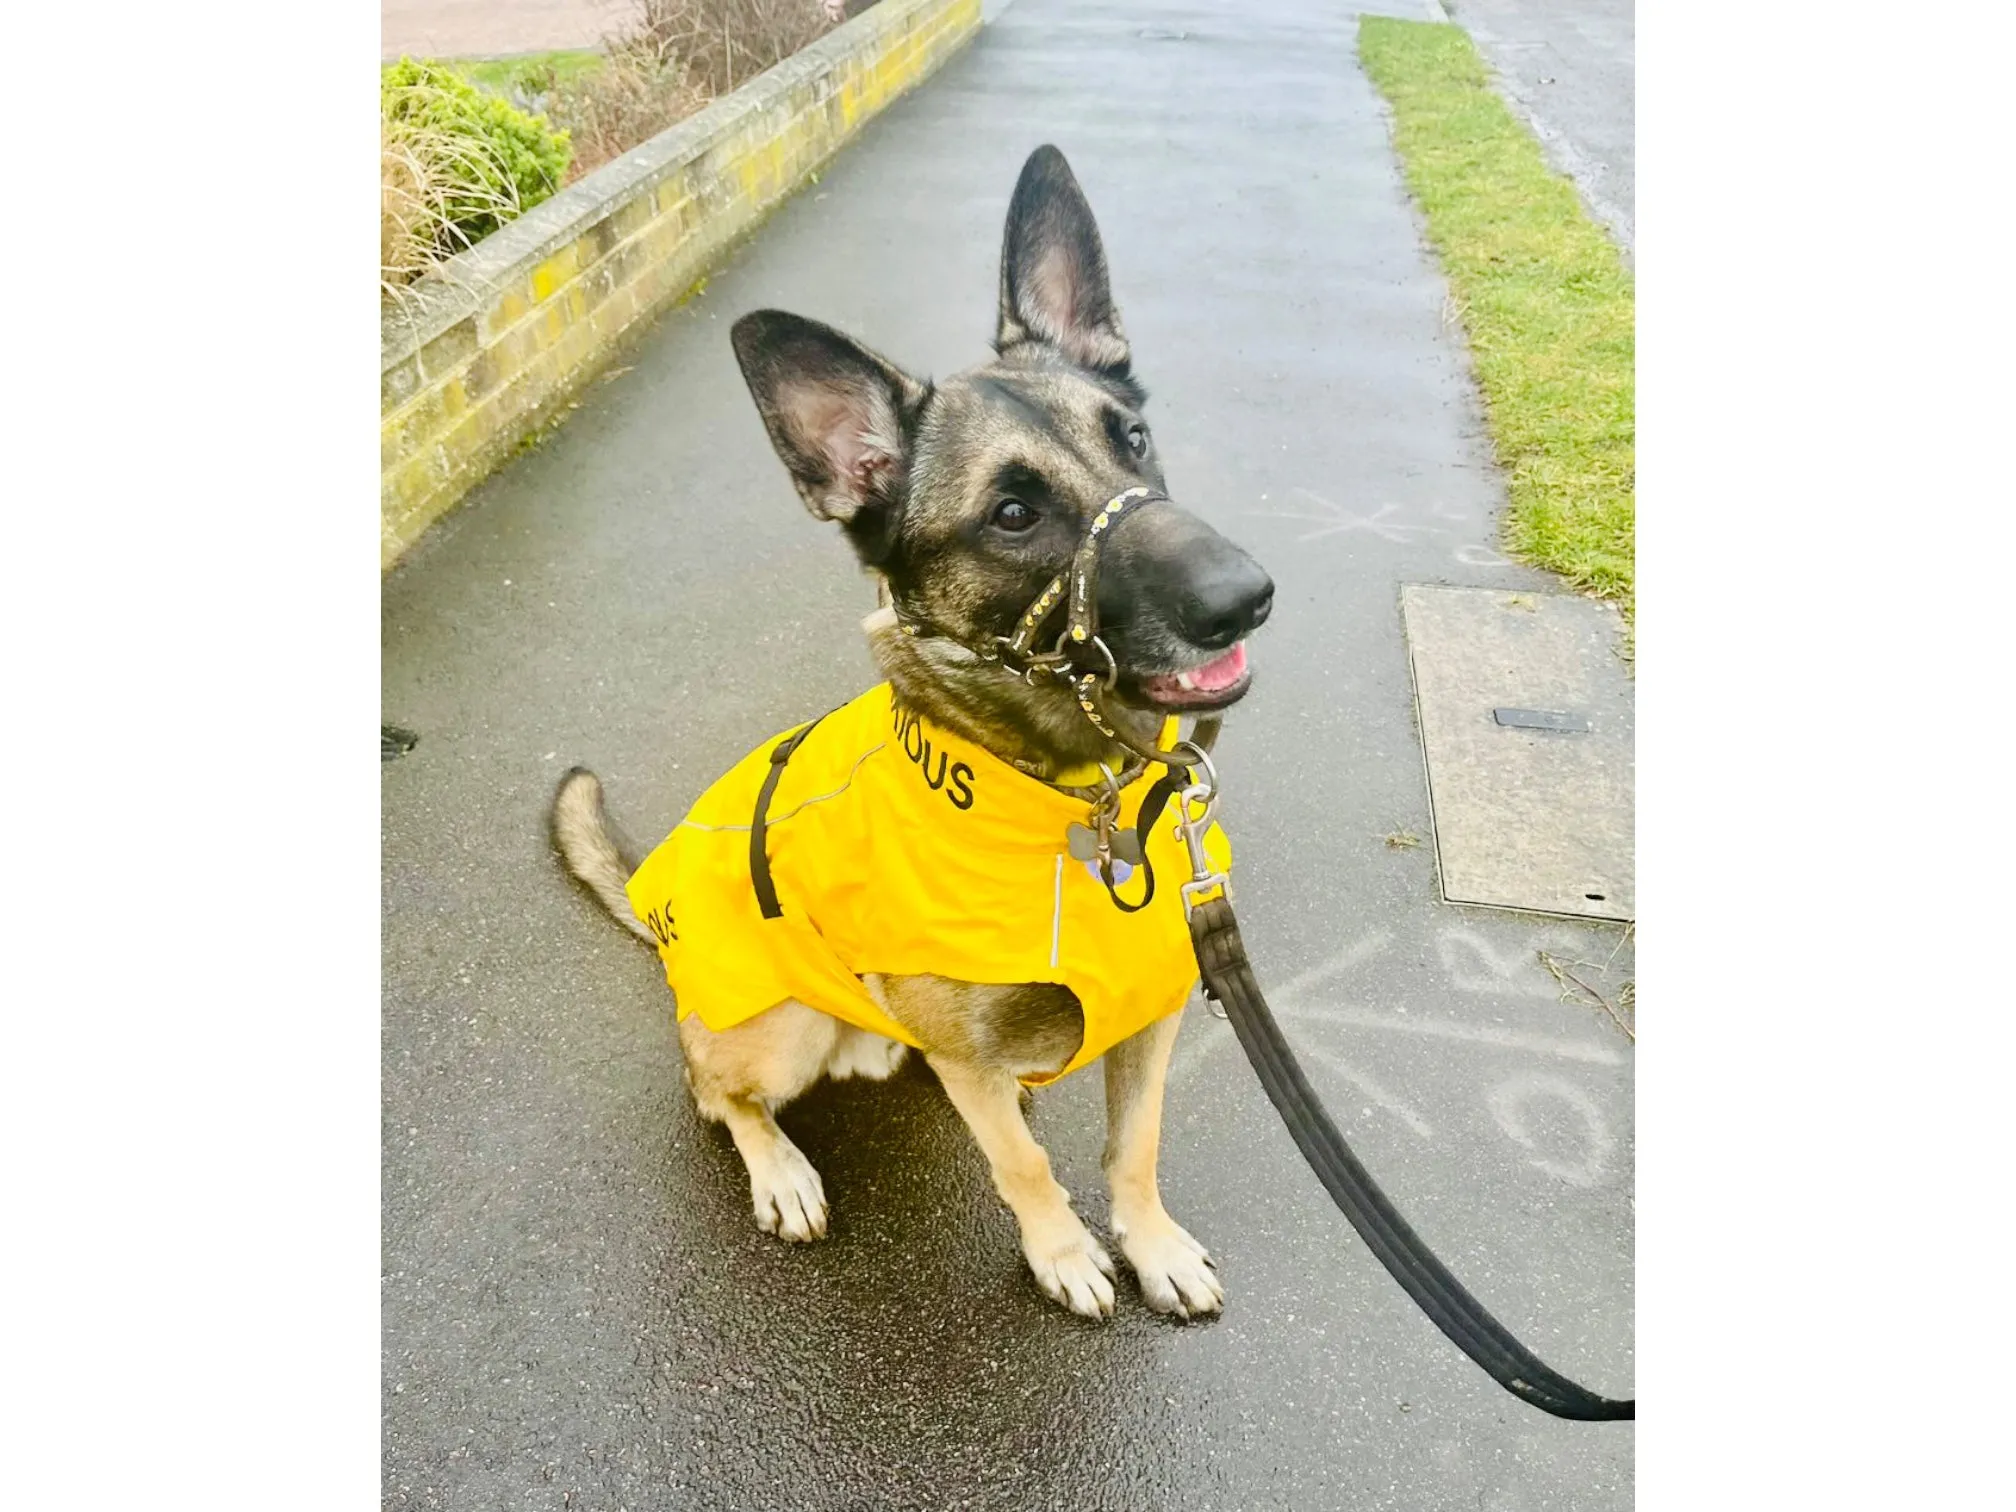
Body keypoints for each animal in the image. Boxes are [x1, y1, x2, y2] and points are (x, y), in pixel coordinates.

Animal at [552, 148, 1274, 1322]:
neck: (1078, 800)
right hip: (779, 1027)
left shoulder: (1151, 1022)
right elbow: (1025, 1168)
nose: (1245, 599)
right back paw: (780, 1167)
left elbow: (1136, 1147)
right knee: (714, 1092)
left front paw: (1151, 1243)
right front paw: (1064, 1251)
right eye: (1013, 515)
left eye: (1132, 438)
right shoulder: (971, 1058)